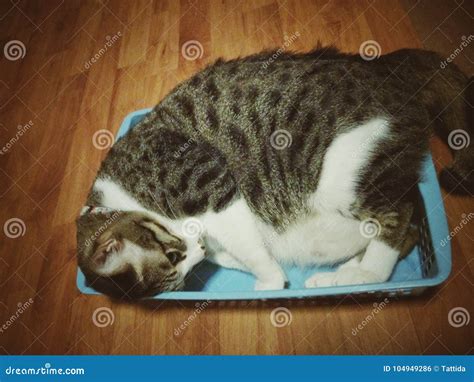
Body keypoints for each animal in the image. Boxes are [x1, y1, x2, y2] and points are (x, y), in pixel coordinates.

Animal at [76, 45, 472, 298]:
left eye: (173, 258)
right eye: (179, 277)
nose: (198, 249)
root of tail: (386, 67)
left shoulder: (210, 186)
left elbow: (250, 250)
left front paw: (269, 282)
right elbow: (237, 254)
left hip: (344, 175)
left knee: (400, 216)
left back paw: (367, 274)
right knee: (406, 222)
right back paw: (340, 278)